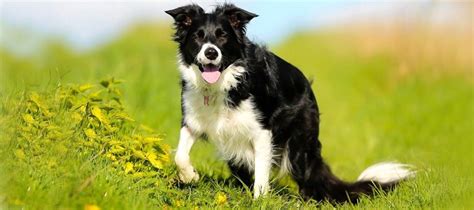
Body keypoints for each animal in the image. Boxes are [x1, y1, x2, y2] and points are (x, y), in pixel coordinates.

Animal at [166, 3, 412, 203]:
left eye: (222, 36)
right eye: (198, 36)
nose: (210, 53)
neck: (221, 85)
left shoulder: (262, 132)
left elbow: (262, 175)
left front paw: (259, 201)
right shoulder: (193, 120)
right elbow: (180, 155)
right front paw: (190, 176)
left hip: (299, 146)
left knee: (309, 179)